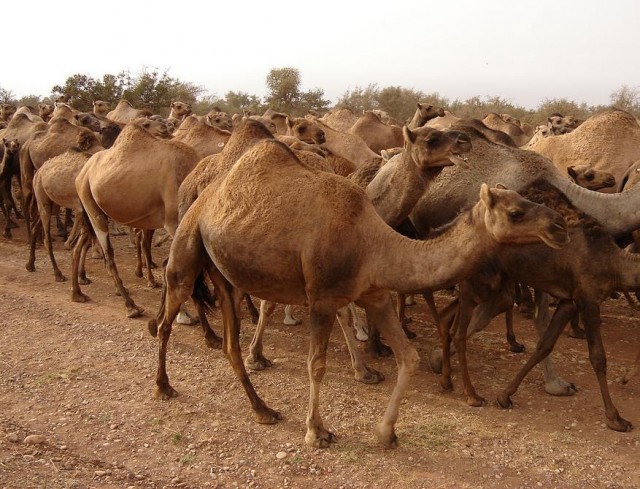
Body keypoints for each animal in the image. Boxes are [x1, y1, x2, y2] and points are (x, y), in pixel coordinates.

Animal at [73, 117, 199, 316]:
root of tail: (82, 173)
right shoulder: (173, 221)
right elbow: (173, 266)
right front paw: (184, 314)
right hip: (92, 206)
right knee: (109, 255)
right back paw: (131, 306)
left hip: (91, 208)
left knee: (80, 246)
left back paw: (79, 290)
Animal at [149, 128, 568, 449]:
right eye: (515, 212)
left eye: (525, 198)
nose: (559, 225)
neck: (373, 239)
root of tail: (205, 194)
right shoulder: (322, 297)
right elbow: (316, 364)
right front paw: (317, 431)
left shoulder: (376, 294)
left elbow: (408, 357)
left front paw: (385, 432)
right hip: (187, 248)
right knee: (170, 314)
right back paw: (164, 384)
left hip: (224, 274)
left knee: (230, 344)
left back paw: (263, 409)